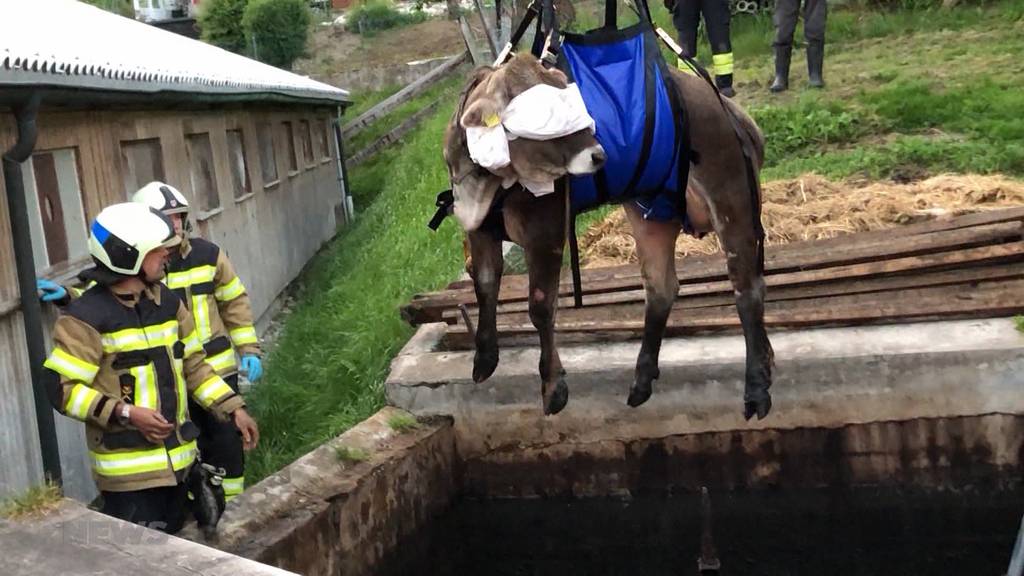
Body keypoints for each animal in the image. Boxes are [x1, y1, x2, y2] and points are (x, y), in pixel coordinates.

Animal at [444, 53, 770, 420]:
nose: (599, 154)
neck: (487, 182)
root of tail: (727, 107)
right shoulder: (479, 229)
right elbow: (484, 285)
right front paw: (484, 358)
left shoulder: (546, 229)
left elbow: (540, 306)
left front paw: (553, 386)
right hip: (652, 214)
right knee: (661, 288)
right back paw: (642, 379)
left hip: (729, 189)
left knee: (746, 287)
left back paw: (757, 389)